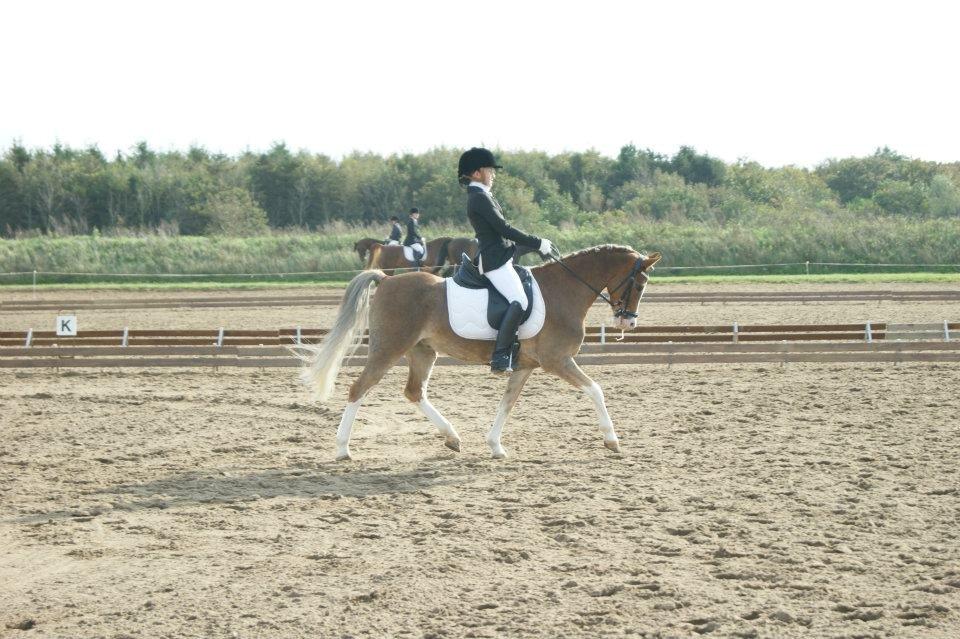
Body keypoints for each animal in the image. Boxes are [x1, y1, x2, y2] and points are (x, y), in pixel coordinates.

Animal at [300, 244, 662, 460]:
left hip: (422, 351)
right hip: (389, 348)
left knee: (414, 392)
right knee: (358, 388)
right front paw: (612, 440)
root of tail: (387, 280)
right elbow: (595, 389)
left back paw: (452, 437)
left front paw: (495, 446)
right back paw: (343, 449)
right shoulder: (557, 360)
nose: (627, 322)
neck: (564, 290)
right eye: (640, 283)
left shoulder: (525, 366)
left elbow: (507, 403)